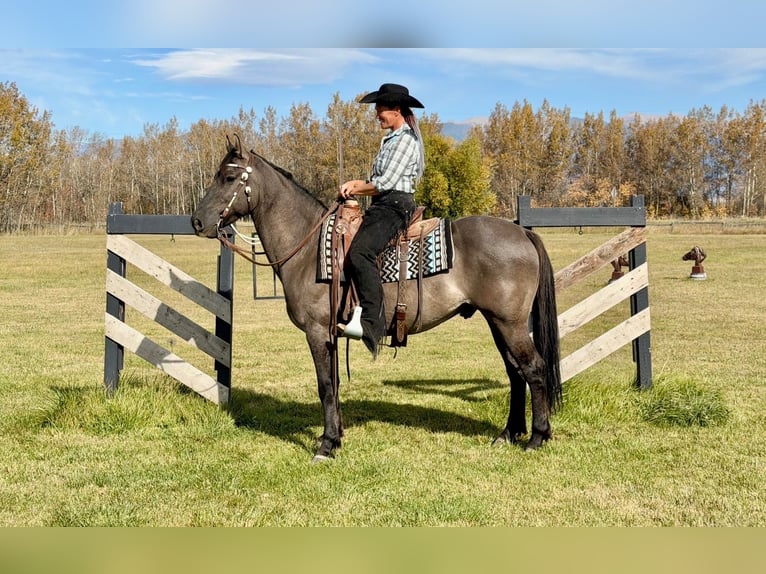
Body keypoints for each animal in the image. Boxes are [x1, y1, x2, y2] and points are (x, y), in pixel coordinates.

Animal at [191, 136, 562, 462]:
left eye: (228, 177)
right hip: (497, 322)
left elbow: (325, 386)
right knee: (515, 372)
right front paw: (336, 437)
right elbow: (335, 384)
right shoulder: (330, 334)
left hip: (510, 323)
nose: (197, 222)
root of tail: (522, 231)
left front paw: (326, 445)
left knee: (533, 369)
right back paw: (508, 434)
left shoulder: (316, 332)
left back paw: (537, 437)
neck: (309, 249)